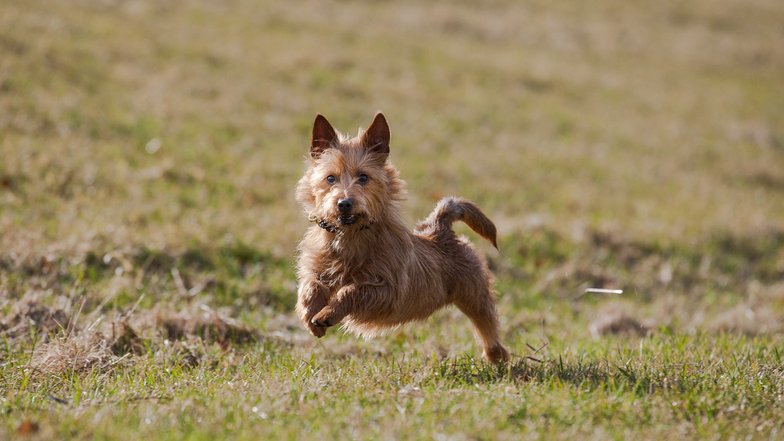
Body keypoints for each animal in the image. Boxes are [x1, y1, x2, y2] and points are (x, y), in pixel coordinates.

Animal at [294, 112, 508, 360]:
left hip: (474, 294)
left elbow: (351, 290)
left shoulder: (387, 289)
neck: (350, 235)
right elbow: (310, 285)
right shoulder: (317, 267)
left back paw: (496, 354)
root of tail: (438, 227)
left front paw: (327, 312)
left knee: (487, 323)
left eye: (363, 177)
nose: (344, 203)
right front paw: (311, 316)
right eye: (330, 178)